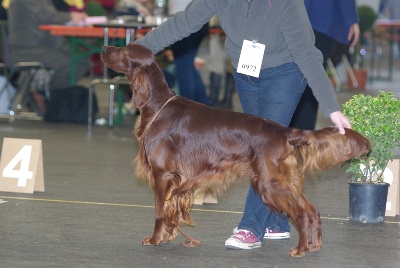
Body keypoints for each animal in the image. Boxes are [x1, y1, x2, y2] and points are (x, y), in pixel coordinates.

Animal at [101, 43, 370, 256]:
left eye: (124, 51)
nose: (103, 49)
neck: (158, 105)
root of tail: (286, 132)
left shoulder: (163, 174)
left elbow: (159, 210)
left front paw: (155, 239)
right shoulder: (175, 182)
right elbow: (169, 212)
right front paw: (168, 236)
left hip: (269, 183)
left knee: (301, 213)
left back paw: (300, 250)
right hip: (282, 180)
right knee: (311, 210)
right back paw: (314, 246)